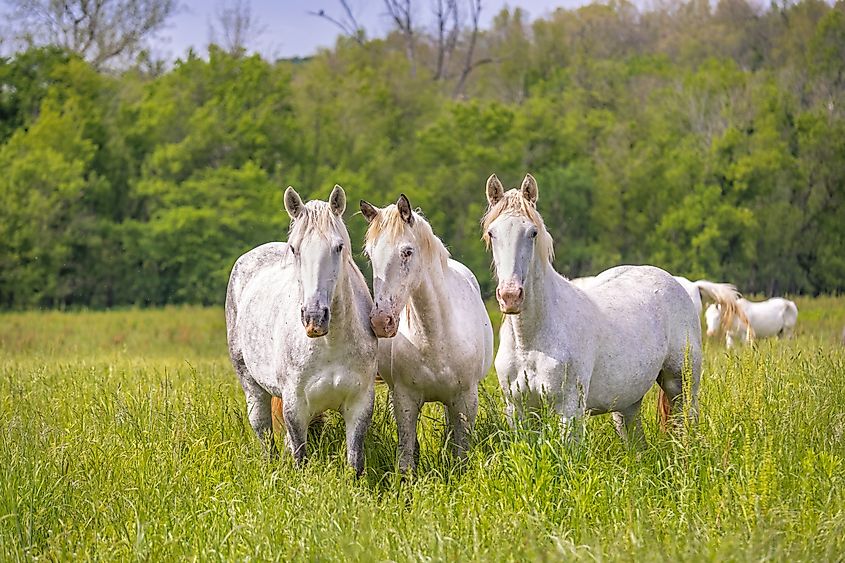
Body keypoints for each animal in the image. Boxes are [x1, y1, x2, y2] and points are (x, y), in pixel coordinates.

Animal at [225, 185, 377, 476]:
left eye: (338, 247)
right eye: (295, 248)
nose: (314, 317)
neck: (330, 344)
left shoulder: (359, 404)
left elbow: (355, 462)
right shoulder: (295, 406)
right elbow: (300, 459)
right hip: (251, 385)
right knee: (264, 434)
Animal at [360, 194, 494, 473]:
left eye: (407, 252)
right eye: (370, 254)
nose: (381, 321)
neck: (436, 337)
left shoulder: (466, 400)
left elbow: (460, 455)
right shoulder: (405, 400)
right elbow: (406, 457)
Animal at [482, 173, 702, 443]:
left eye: (532, 232)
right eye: (492, 233)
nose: (510, 296)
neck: (530, 342)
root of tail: (674, 283)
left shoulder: (570, 409)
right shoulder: (519, 410)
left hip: (681, 386)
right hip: (627, 402)